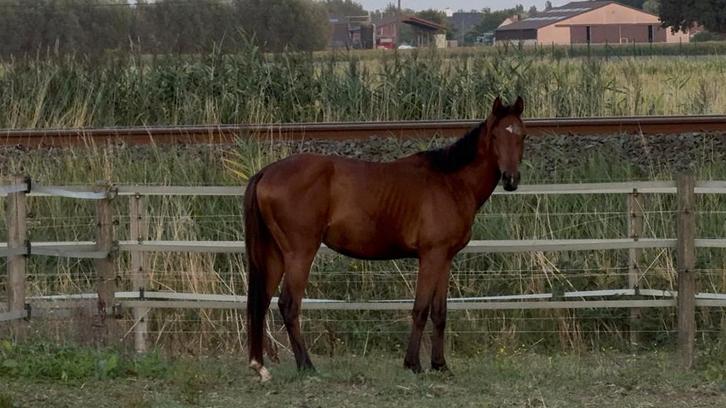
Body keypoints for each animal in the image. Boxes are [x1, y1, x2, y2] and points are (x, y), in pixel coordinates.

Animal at [245, 96, 526, 381]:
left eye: (522, 135)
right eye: (495, 136)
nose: (511, 179)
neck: (451, 182)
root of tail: (266, 172)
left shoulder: (445, 259)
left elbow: (439, 312)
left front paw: (440, 365)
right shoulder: (431, 256)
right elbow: (421, 309)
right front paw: (413, 364)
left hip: (275, 255)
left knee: (262, 302)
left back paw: (261, 366)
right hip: (300, 254)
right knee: (288, 304)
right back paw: (306, 365)